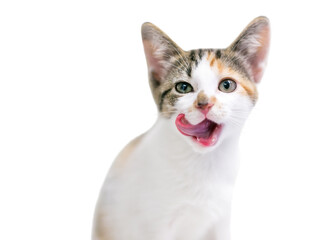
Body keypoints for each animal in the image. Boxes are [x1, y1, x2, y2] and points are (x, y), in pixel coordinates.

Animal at [91, 16, 270, 240]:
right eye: (183, 87)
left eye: (227, 85)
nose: (204, 104)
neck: (201, 162)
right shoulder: (155, 225)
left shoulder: (220, 218)